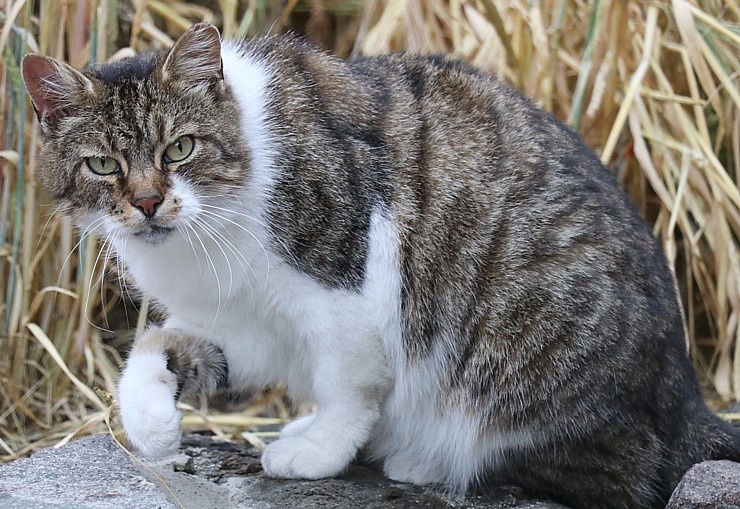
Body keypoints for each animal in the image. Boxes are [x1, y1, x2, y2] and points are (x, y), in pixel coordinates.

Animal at [23, 21, 740, 506]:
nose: (147, 203)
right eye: (102, 164)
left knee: (607, 471)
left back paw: (422, 458)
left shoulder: (340, 281)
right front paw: (154, 424)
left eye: (180, 147)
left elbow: (351, 379)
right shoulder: (244, 320)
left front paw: (317, 451)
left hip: (525, 346)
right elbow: (154, 345)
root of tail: (687, 401)